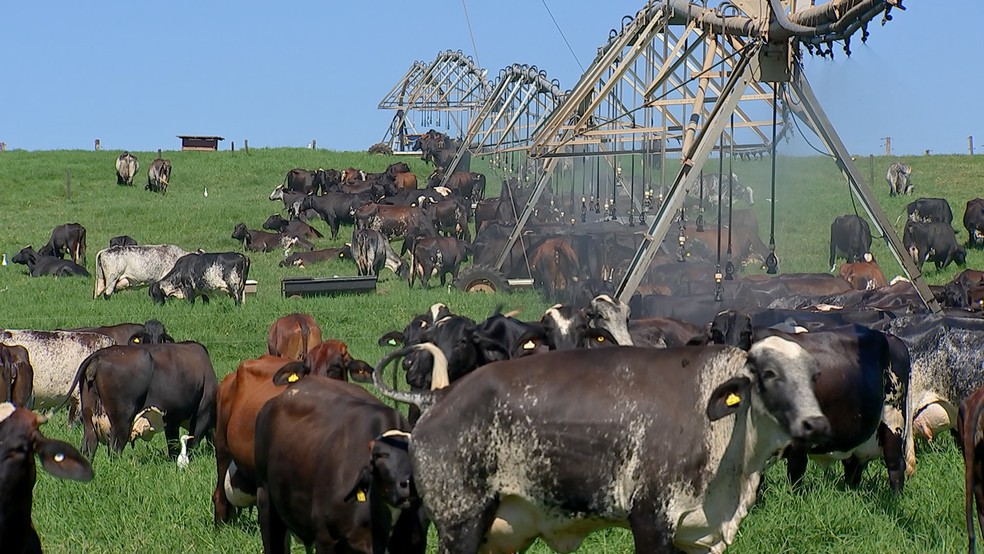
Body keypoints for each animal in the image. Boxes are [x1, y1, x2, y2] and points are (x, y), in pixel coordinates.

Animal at [65, 340, 219, 458]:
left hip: (89, 419)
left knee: (88, 447)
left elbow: (173, 445)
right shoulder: (202, 415)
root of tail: (99, 355)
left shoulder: (171, 420)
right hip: (122, 420)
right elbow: (193, 442)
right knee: (115, 449)